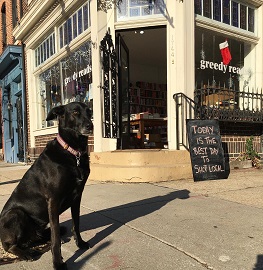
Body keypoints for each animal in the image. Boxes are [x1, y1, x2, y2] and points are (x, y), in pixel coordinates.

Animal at [0, 102, 94, 268]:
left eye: (89, 112)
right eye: (75, 112)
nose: (91, 125)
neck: (72, 152)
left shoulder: (77, 197)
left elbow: (76, 223)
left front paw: (80, 243)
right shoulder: (53, 200)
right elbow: (55, 235)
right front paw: (57, 262)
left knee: (35, 239)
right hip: (16, 214)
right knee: (10, 246)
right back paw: (26, 253)